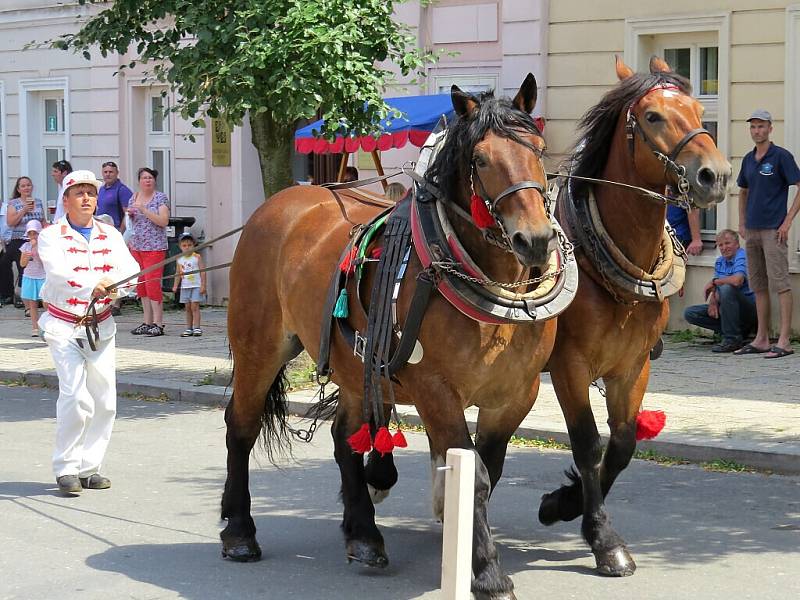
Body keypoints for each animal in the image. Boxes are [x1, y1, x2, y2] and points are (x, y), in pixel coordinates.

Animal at [222, 76, 572, 600]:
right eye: (481, 160)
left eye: (539, 149)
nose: (534, 240)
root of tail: (279, 203)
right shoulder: (436, 391)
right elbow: (475, 475)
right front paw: (487, 572)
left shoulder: (516, 395)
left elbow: (486, 471)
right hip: (258, 349)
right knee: (240, 428)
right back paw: (239, 531)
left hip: (353, 365)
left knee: (344, 437)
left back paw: (363, 535)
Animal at [520, 57, 736, 576]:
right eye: (653, 116)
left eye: (701, 109)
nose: (715, 175)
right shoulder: (570, 367)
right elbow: (587, 443)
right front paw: (602, 537)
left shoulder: (632, 366)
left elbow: (620, 445)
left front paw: (564, 502)